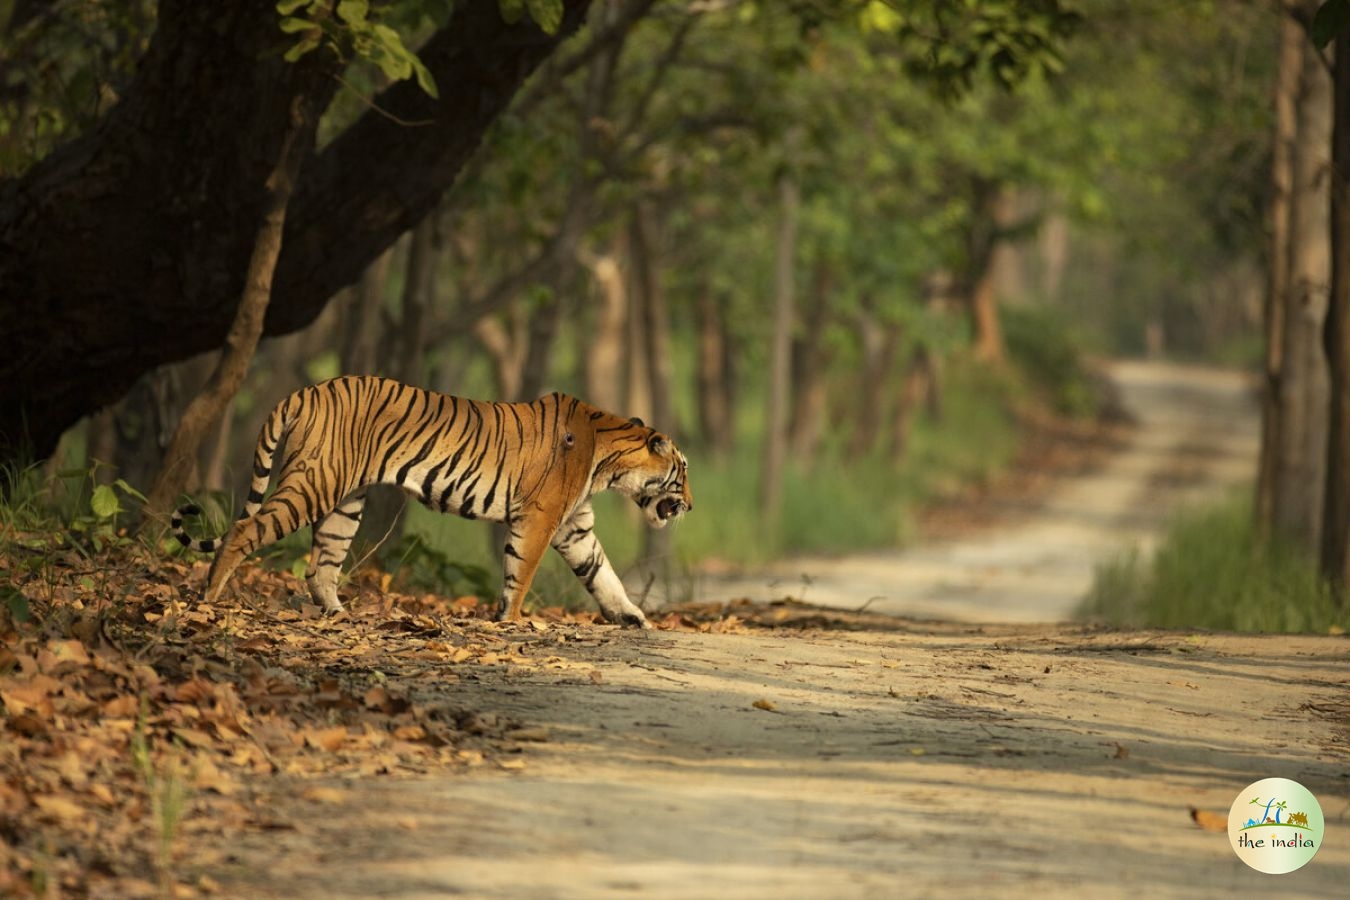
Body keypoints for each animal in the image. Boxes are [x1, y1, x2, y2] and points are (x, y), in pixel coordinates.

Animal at [172, 377, 691, 631]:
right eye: (683, 474)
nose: (689, 505)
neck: (608, 462)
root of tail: (307, 390)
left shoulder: (574, 527)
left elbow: (602, 574)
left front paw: (632, 617)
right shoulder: (540, 518)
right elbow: (521, 572)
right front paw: (511, 621)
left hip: (345, 503)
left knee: (320, 566)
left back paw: (341, 615)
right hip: (314, 483)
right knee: (244, 530)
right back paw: (209, 599)